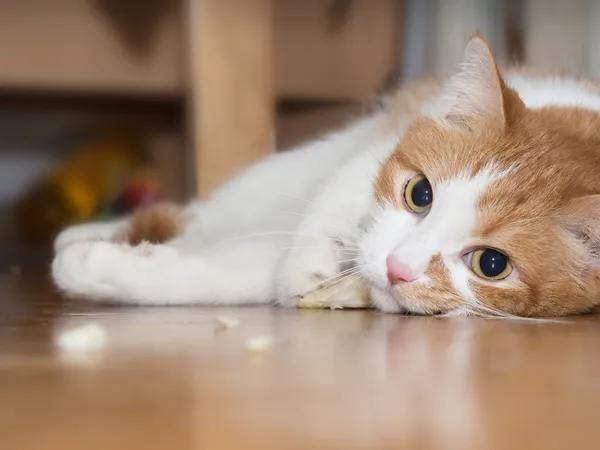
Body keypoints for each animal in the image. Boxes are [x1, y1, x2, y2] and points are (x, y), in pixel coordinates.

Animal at [50, 34, 600, 316]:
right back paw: (86, 231)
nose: (397, 268)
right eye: (419, 193)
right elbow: (333, 200)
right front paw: (308, 265)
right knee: (207, 212)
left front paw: (107, 269)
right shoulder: (373, 151)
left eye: (491, 264)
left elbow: (230, 274)